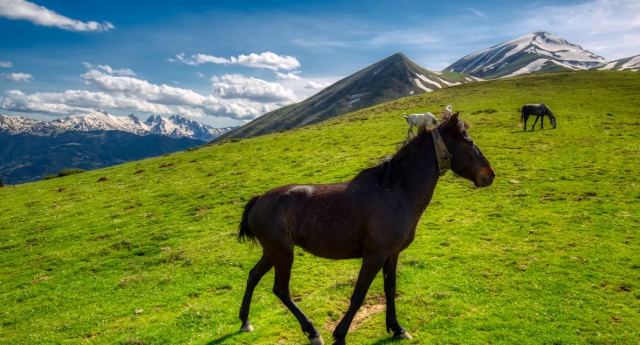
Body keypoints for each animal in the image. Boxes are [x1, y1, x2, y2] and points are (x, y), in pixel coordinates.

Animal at [238, 113, 492, 344]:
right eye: (468, 141)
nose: (490, 175)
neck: (397, 192)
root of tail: (259, 200)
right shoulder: (374, 256)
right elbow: (358, 295)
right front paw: (340, 335)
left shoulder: (391, 254)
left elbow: (390, 289)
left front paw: (397, 328)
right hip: (283, 253)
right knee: (281, 290)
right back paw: (312, 332)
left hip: (273, 252)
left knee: (253, 276)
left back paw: (245, 321)